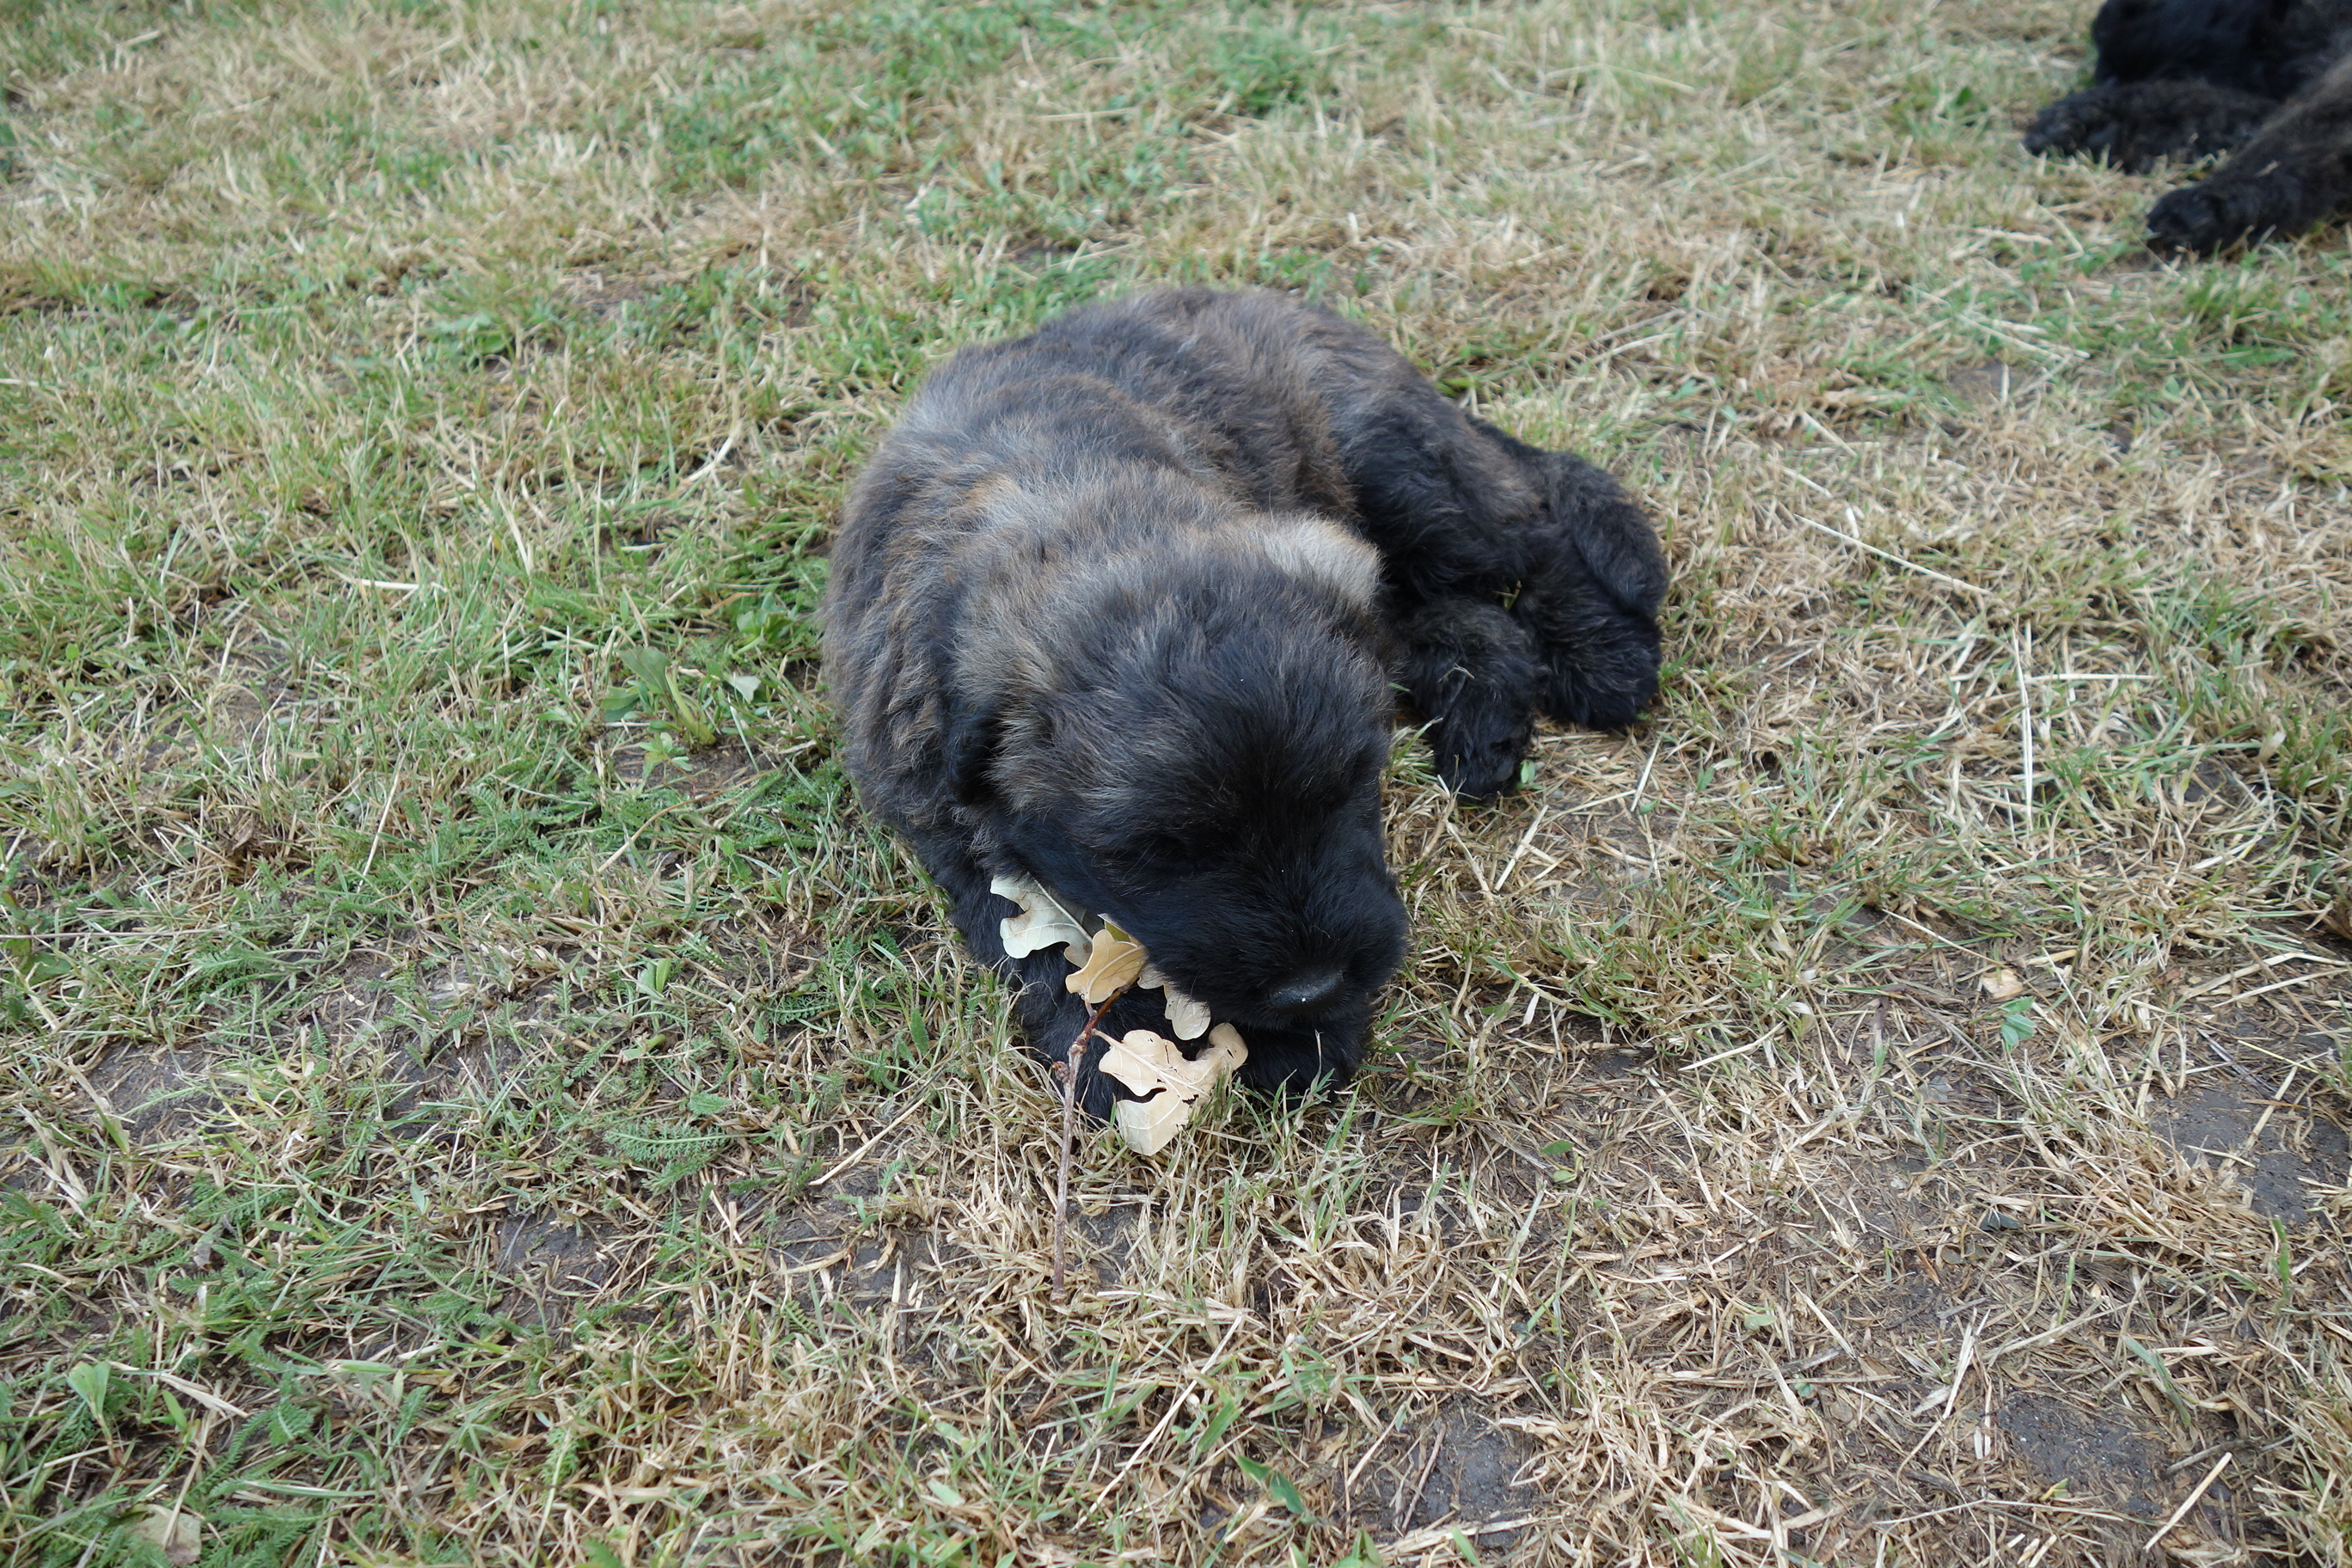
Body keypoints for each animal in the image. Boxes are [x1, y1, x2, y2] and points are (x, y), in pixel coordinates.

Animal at [822, 289, 1666, 1116]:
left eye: (1346, 791)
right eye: (1152, 851)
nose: (1312, 987)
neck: (1079, 507)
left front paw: (1303, 1036)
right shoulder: (947, 818)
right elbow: (1036, 937)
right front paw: (1123, 1052)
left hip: (1400, 469)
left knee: (1532, 531)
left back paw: (1607, 658)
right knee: (1463, 618)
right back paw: (1485, 726)